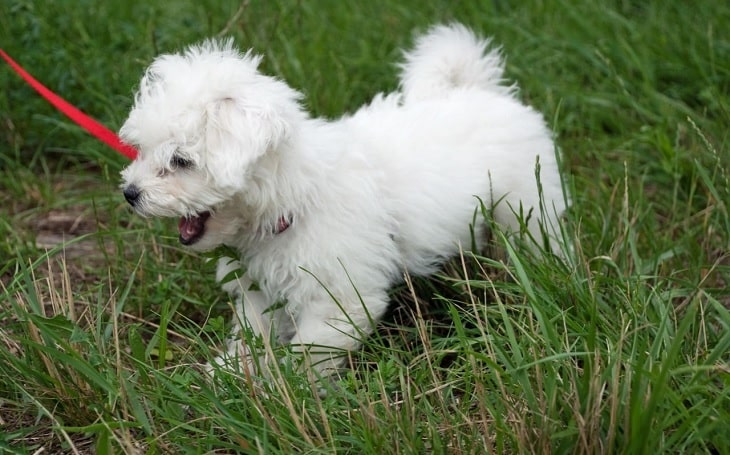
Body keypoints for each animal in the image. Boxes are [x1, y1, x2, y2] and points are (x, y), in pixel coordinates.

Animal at [119, 24, 564, 378]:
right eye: (143, 150)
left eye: (181, 161)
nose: (130, 193)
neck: (295, 195)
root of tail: (480, 90)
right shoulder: (259, 291)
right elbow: (252, 334)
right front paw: (229, 374)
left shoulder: (339, 299)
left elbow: (309, 352)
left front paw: (290, 390)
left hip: (527, 207)